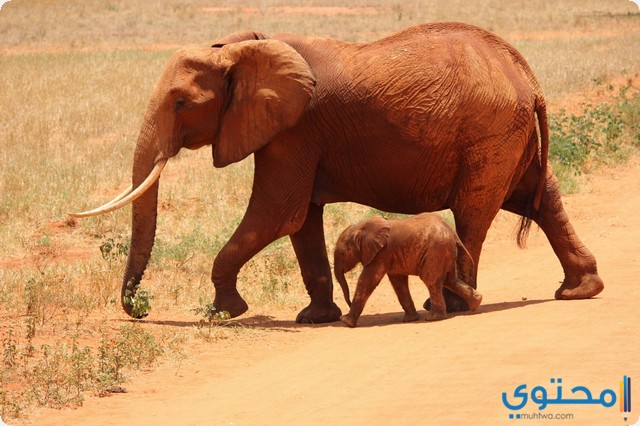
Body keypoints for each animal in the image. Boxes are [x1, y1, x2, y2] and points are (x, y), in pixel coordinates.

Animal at [336, 212, 480, 326]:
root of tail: (453, 233)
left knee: (431, 281)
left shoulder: (381, 253)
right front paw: (411, 319)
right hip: (445, 251)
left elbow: (367, 280)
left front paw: (346, 322)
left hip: (436, 251)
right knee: (450, 280)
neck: (362, 227)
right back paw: (476, 303)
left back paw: (434, 318)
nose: (348, 303)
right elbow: (398, 283)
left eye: (342, 253)